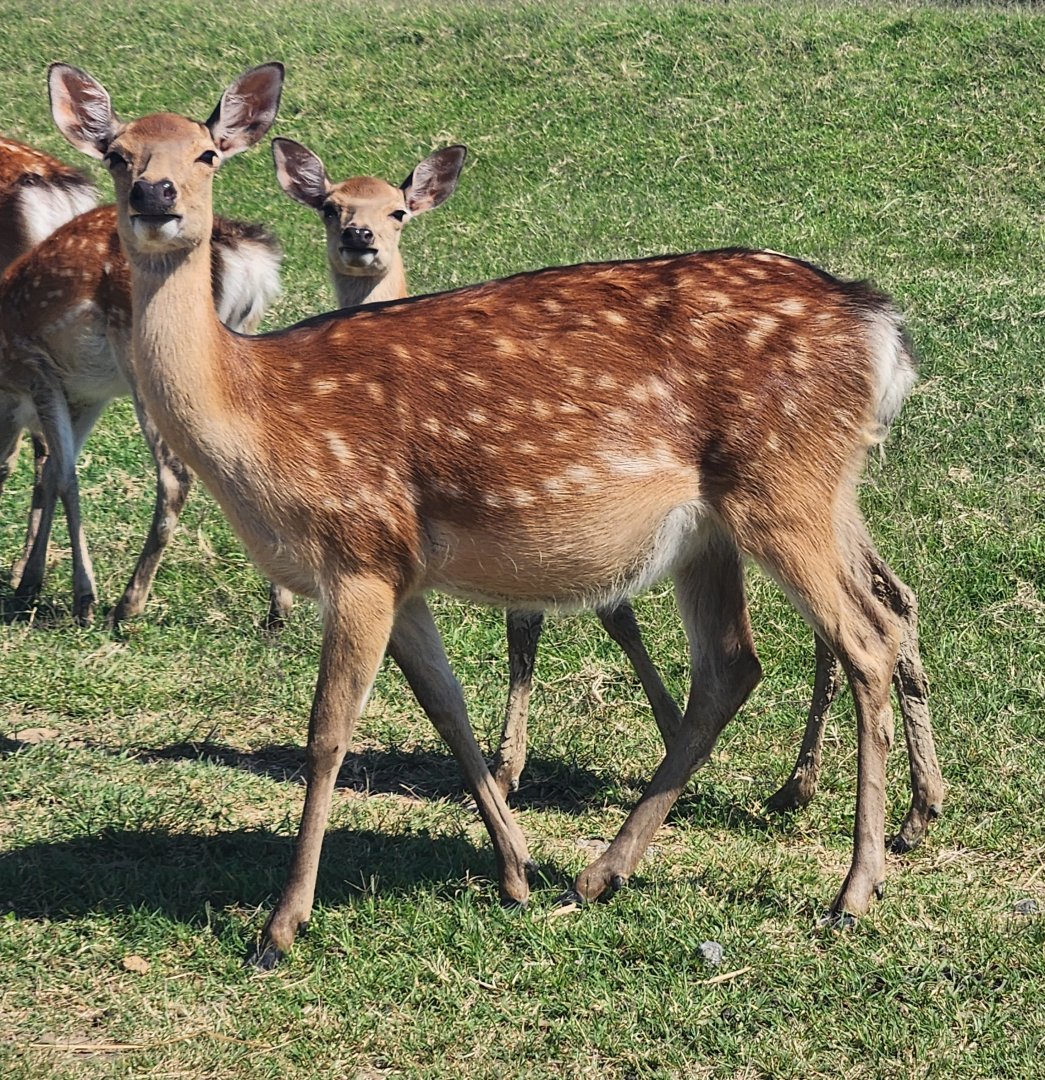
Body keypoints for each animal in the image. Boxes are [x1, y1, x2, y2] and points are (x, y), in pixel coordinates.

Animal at [0, 202, 281, 624]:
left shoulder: (39, 370)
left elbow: (64, 477)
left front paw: (82, 598)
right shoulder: (86, 394)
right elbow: (52, 473)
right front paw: (28, 584)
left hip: (147, 355)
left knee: (174, 475)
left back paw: (127, 606)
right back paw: (278, 610)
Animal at [49, 61, 944, 968]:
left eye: (205, 154)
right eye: (117, 153)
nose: (155, 195)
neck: (258, 415)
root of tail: (881, 328)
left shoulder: (357, 547)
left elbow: (327, 733)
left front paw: (279, 927)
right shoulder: (401, 573)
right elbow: (449, 712)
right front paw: (514, 872)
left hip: (782, 486)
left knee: (863, 641)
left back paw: (852, 891)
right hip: (727, 526)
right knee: (739, 663)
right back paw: (597, 876)